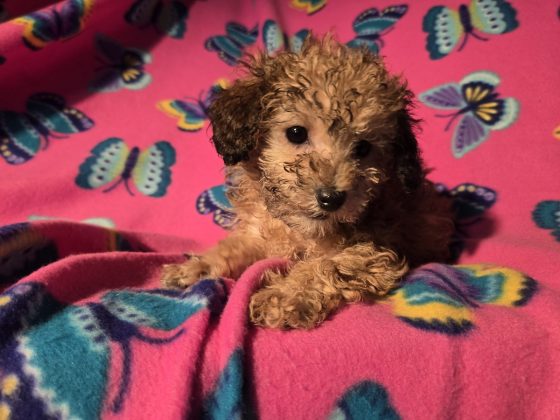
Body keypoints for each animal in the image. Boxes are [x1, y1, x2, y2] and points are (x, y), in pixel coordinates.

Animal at [162, 35, 454, 329]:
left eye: (363, 148)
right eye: (296, 133)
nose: (331, 199)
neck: (301, 230)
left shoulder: (373, 252)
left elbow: (323, 267)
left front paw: (282, 296)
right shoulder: (260, 234)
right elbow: (232, 249)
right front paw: (195, 267)